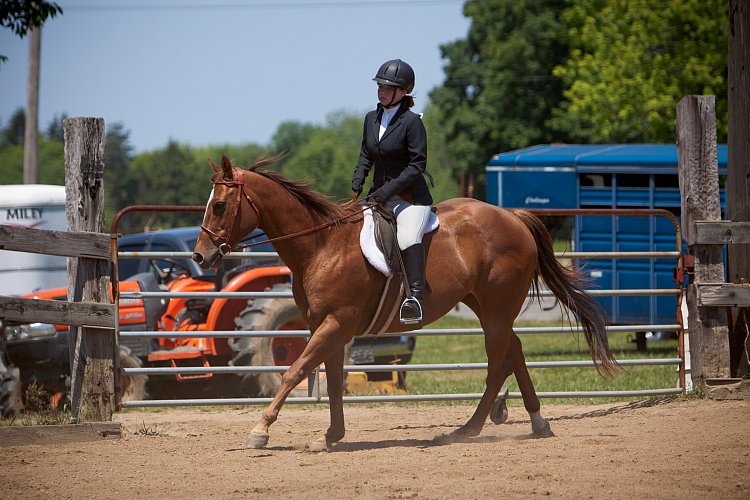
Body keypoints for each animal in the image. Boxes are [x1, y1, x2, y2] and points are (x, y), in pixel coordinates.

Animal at [194, 154, 616, 452]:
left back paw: (467, 429)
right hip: (485, 306)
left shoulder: (336, 324)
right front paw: (331, 435)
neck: (320, 246)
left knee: (498, 364)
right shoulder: (326, 327)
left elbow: (294, 372)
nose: (200, 256)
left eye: (219, 206)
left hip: (496, 309)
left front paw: (260, 429)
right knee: (514, 350)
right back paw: (537, 422)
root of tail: (512, 217)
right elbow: (332, 382)